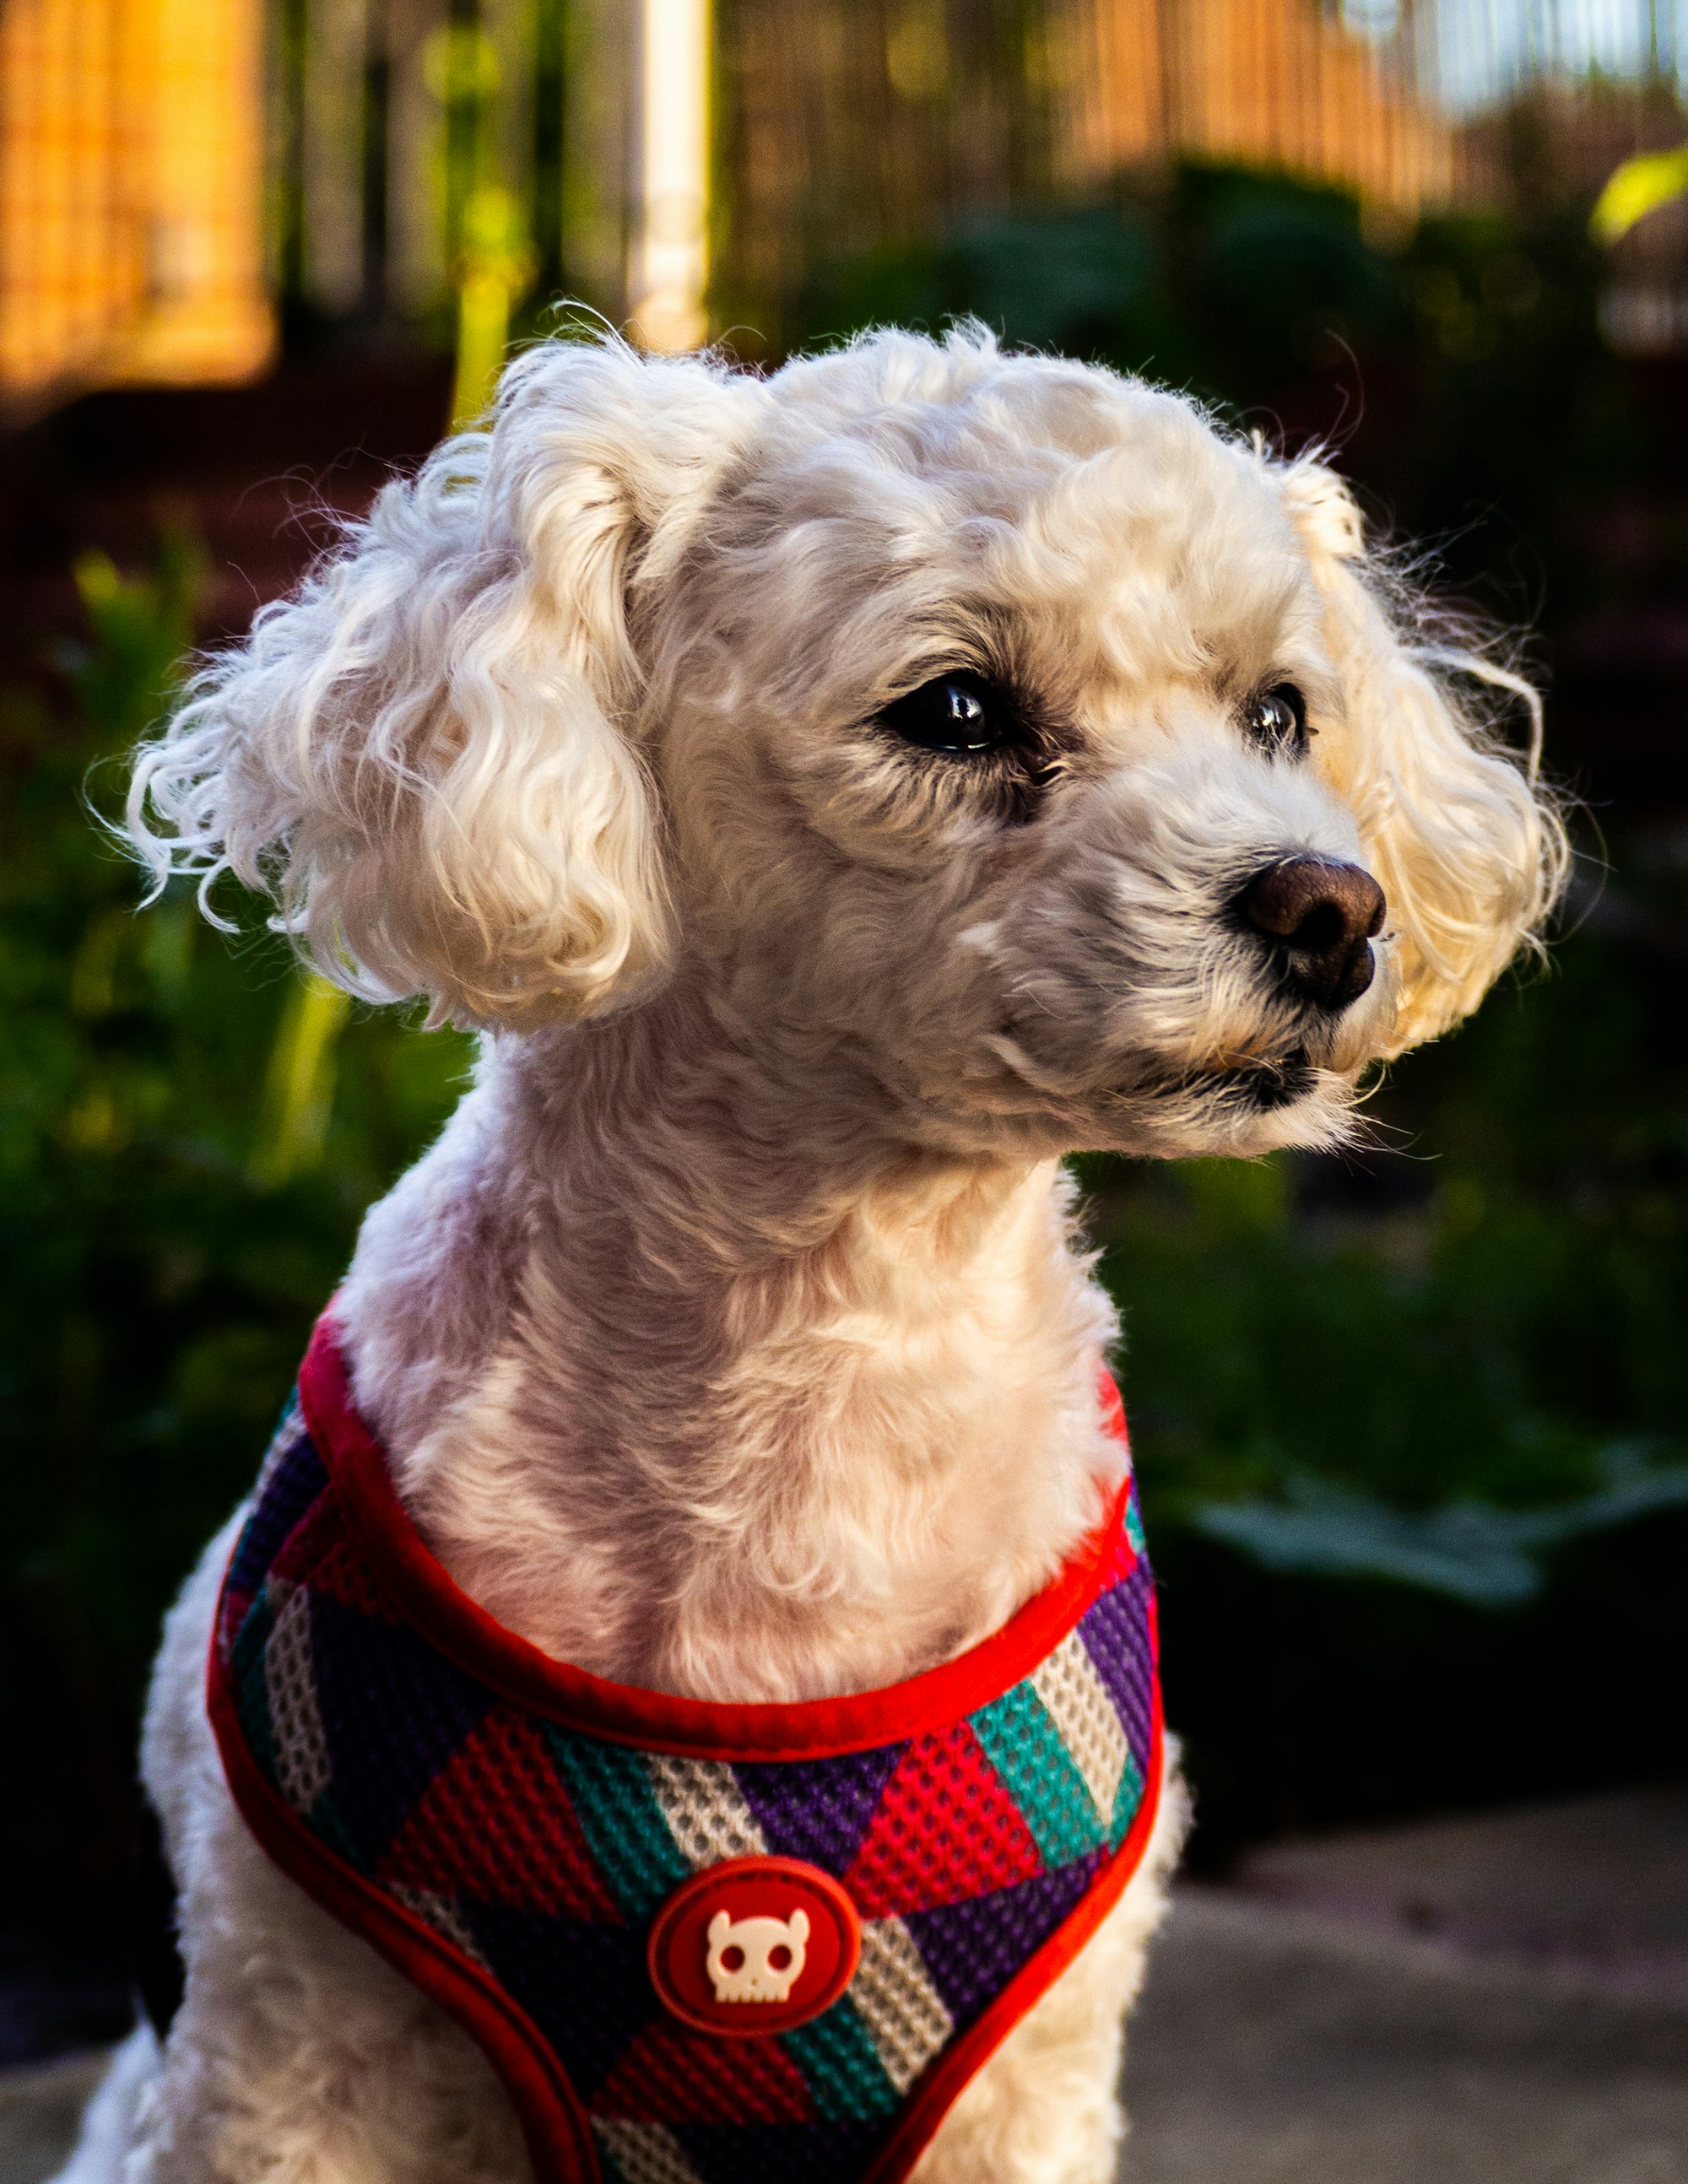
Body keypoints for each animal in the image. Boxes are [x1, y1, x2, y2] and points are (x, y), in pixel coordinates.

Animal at [62, 323, 1563, 2184]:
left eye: (1281, 711)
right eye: (958, 708)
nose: (1333, 910)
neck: (813, 1353)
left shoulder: (1026, 2087)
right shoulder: (293, 2051)